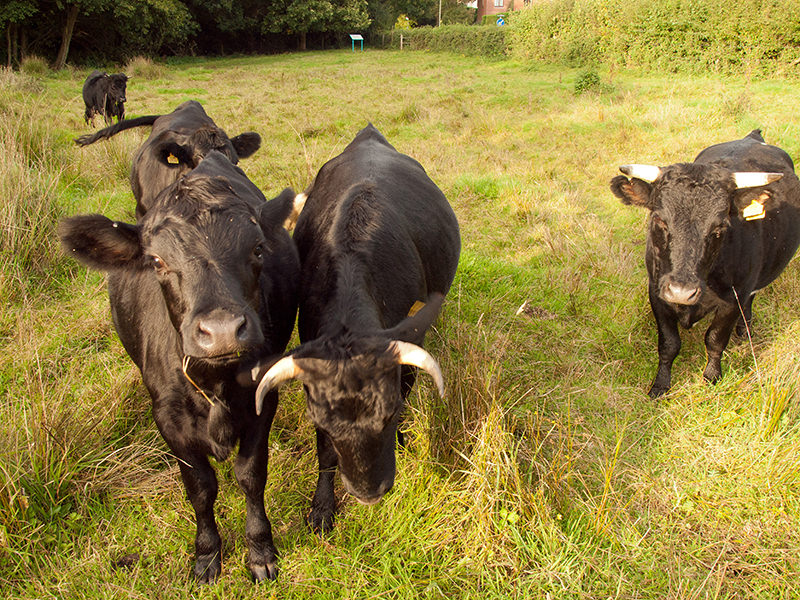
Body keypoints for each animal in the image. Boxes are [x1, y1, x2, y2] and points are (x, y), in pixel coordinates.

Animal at [59, 151, 300, 583]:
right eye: (156, 260)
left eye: (258, 249)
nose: (222, 331)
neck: (215, 382)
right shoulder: (167, 417)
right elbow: (200, 487)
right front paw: (206, 554)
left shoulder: (263, 399)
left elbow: (251, 475)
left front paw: (260, 550)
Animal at [610, 130, 800, 398]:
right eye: (659, 219)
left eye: (719, 227)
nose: (681, 291)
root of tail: (752, 137)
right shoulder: (656, 292)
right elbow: (669, 344)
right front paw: (660, 385)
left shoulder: (733, 299)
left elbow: (715, 340)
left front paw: (711, 377)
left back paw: (745, 330)